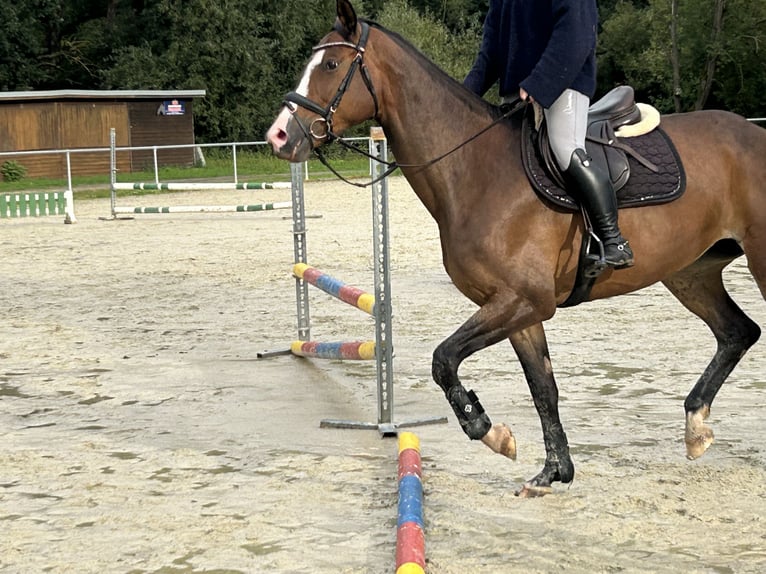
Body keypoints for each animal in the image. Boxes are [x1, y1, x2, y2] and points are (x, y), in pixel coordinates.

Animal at [266, 0, 766, 497]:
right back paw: (696, 427)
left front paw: (489, 431)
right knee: (737, 332)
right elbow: (542, 387)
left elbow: (444, 360)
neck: (476, 170)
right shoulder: (518, 308)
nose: (278, 136)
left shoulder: (523, 300)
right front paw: (552, 471)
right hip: (691, 273)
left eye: (331, 65)